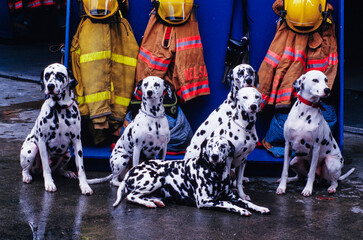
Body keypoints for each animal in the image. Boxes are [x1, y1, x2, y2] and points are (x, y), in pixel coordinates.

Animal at [19, 63, 94, 195]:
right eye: (47, 75)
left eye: (60, 75)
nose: (50, 86)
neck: (59, 109)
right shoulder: (42, 142)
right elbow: (46, 168)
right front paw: (49, 183)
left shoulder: (77, 142)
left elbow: (81, 168)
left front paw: (85, 186)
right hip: (32, 148)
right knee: (26, 169)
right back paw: (27, 176)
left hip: (68, 153)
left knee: (58, 169)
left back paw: (66, 172)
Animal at [114, 136, 270, 217]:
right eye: (210, 146)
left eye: (222, 146)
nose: (214, 156)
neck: (216, 172)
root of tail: (131, 170)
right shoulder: (205, 200)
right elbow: (228, 204)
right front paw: (242, 210)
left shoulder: (231, 195)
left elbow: (246, 202)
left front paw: (259, 207)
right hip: (156, 178)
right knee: (131, 196)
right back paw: (148, 203)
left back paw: (155, 201)